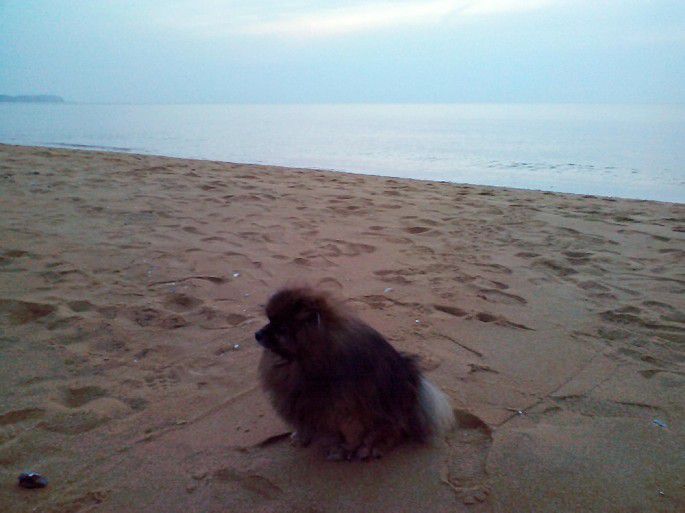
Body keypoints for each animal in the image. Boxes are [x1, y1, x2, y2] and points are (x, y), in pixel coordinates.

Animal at [255, 286, 454, 460]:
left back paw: (374, 446)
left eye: (280, 329)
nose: (257, 334)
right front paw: (302, 437)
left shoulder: (345, 407)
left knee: (394, 430)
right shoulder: (304, 400)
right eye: (269, 320)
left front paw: (344, 449)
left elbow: (352, 432)